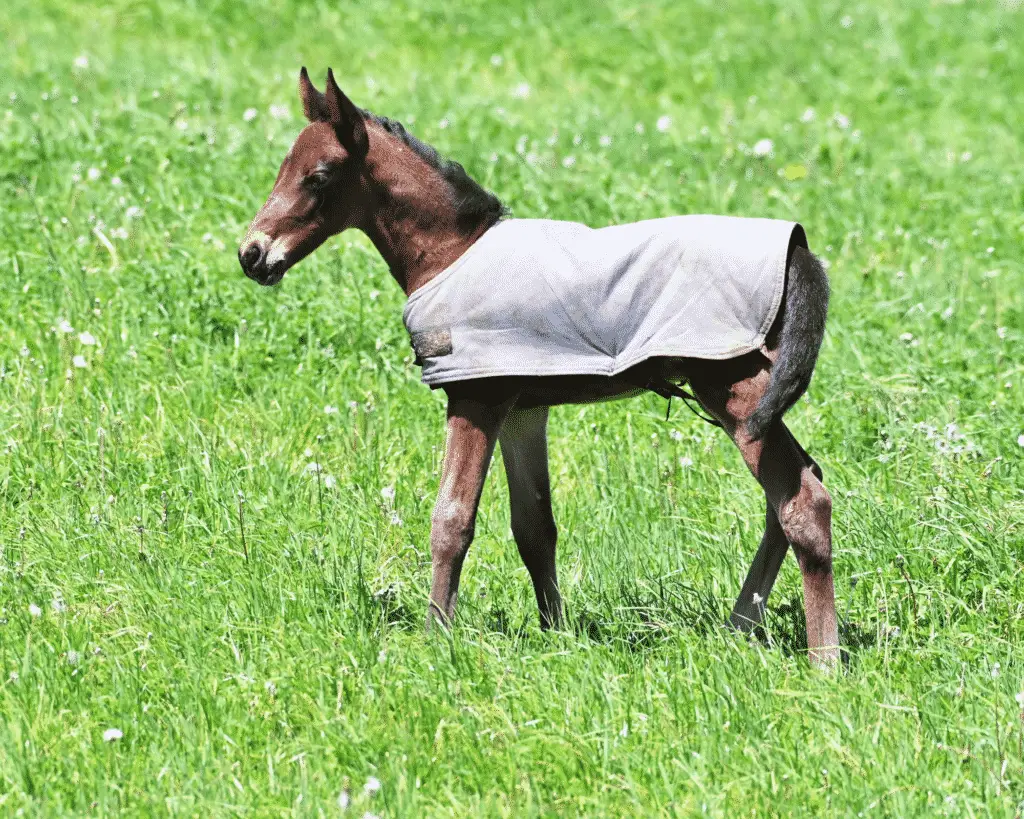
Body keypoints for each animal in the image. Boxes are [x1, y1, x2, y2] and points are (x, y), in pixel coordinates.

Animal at [239, 65, 839, 663]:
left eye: (319, 175)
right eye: (283, 167)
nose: (252, 254)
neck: (453, 253)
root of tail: (798, 250)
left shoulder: (475, 399)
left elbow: (451, 519)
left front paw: (436, 639)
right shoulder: (523, 409)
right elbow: (534, 526)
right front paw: (557, 634)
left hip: (735, 389)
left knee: (802, 502)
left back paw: (823, 660)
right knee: (791, 490)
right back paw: (739, 628)